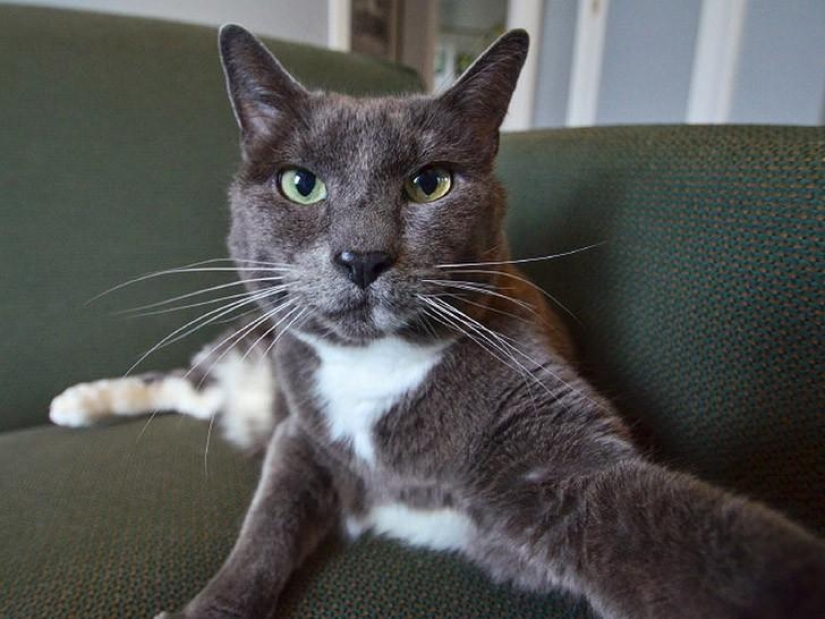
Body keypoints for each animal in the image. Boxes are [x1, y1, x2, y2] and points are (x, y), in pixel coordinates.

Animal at [50, 24, 824, 619]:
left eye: (430, 183)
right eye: (301, 183)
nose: (362, 255)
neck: (372, 370)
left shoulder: (547, 463)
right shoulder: (301, 433)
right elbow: (263, 529)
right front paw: (212, 603)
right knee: (188, 379)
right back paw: (76, 404)